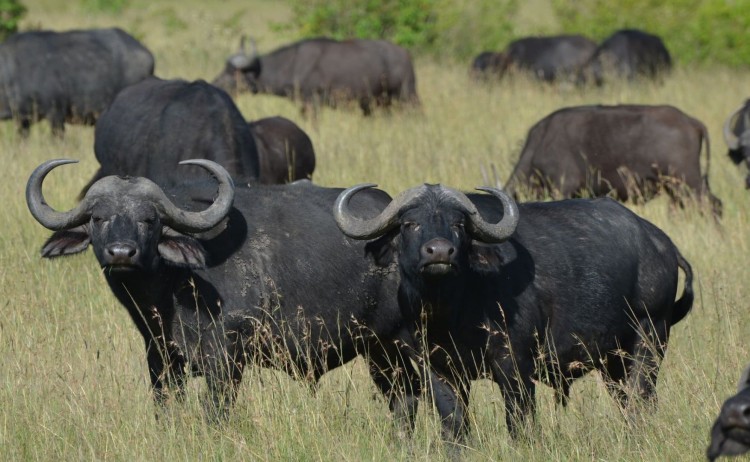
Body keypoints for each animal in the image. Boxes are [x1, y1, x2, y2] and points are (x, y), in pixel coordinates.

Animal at [27, 159, 422, 428]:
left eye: (150, 220)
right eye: (98, 218)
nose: (121, 253)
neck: (173, 292)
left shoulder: (226, 359)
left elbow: (216, 413)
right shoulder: (160, 358)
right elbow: (165, 409)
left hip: (402, 345)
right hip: (379, 352)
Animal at [212, 37, 419, 116]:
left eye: (232, 72)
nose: (215, 83)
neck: (292, 65)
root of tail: (405, 54)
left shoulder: (313, 103)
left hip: (407, 95)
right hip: (379, 103)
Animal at [335, 184, 693, 440]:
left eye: (458, 224)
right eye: (410, 223)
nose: (439, 252)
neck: (452, 312)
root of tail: (661, 243)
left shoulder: (515, 367)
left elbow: (519, 425)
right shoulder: (438, 369)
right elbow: (454, 426)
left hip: (648, 340)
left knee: (641, 402)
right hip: (613, 362)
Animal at [505, 104, 722, 216]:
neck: (540, 143)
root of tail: (691, 122)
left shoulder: (562, 186)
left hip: (688, 181)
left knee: (713, 205)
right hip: (676, 186)